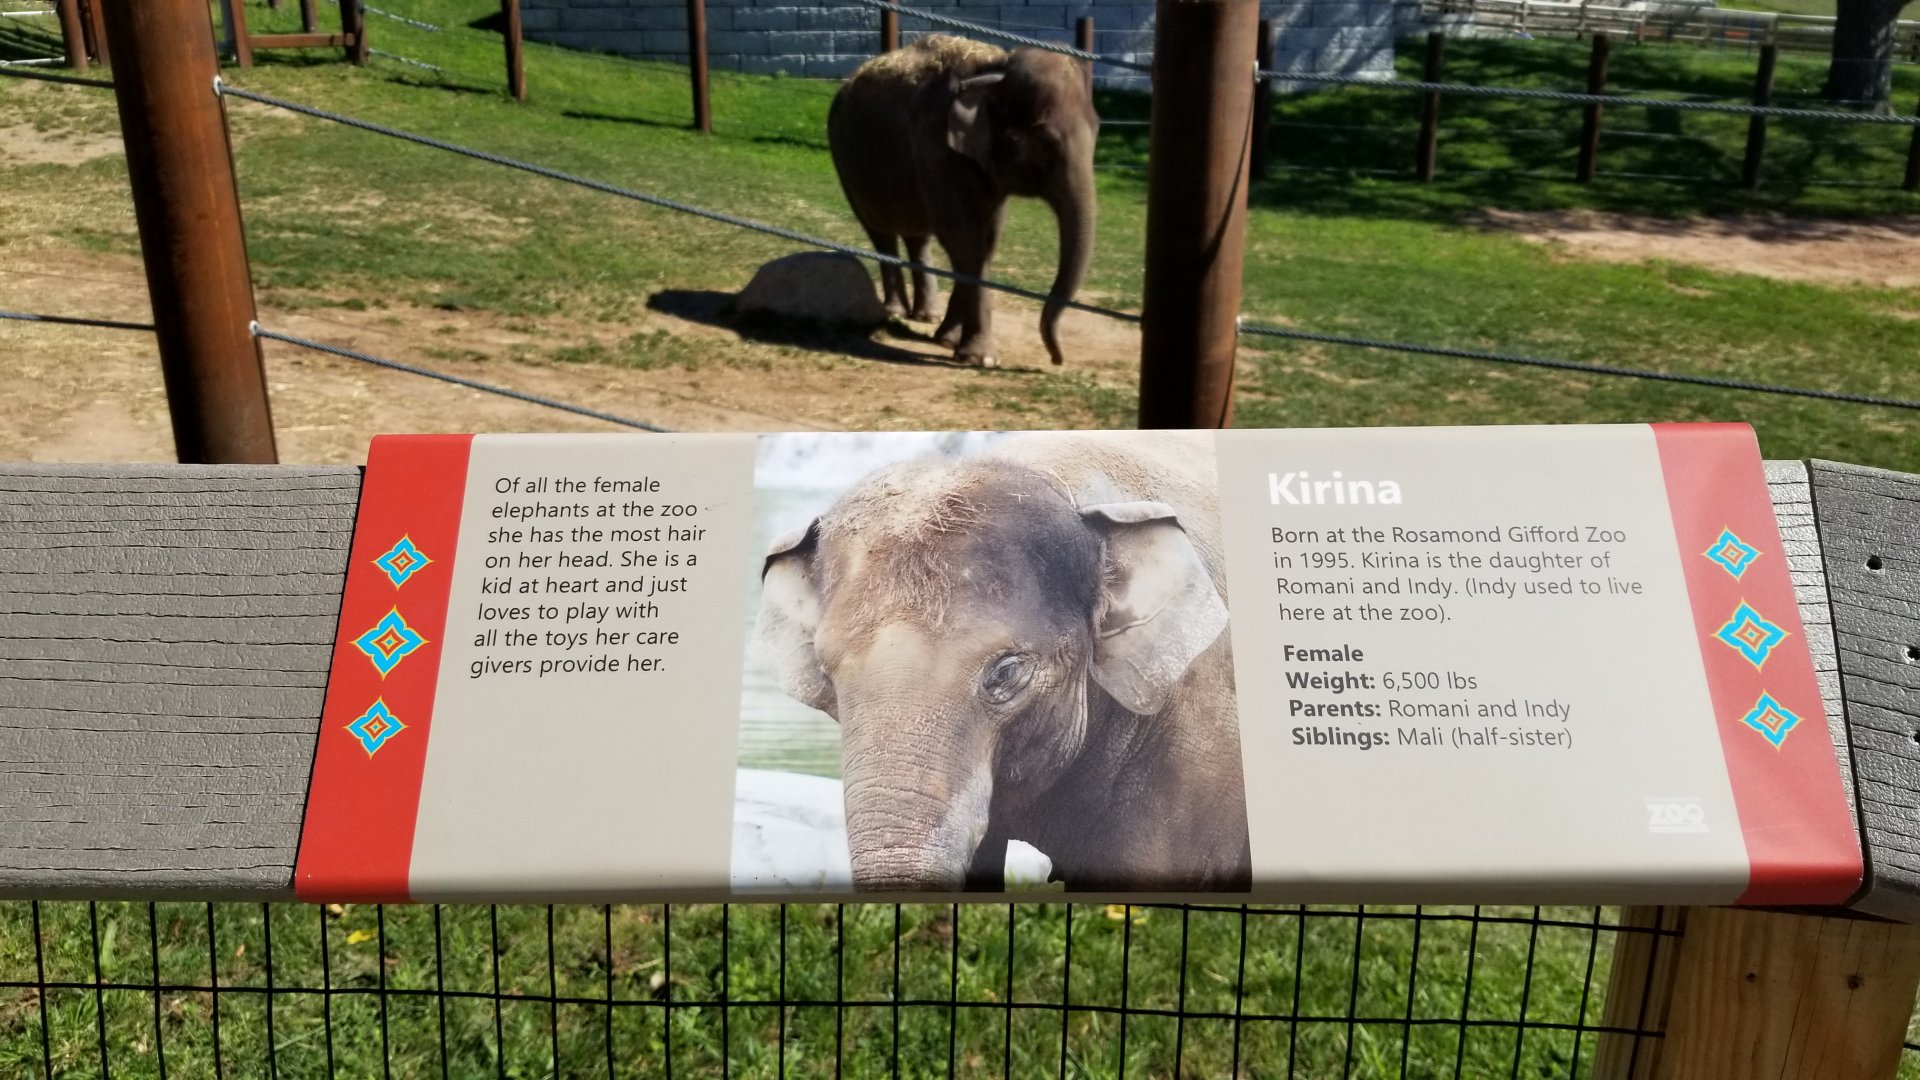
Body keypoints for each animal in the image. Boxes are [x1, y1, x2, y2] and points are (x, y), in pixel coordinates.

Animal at [826, 34, 1100, 369]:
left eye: (1098, 132)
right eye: (1046, 142)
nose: (1056, 358)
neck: (995, 70)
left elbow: (986, 242)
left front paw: (947, 341)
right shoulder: (936, 149)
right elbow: (964, 241)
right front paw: (980, 359)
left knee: (917, 236)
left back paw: (926, 316)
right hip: (845, 164)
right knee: (880, 232)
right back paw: (894, 312)